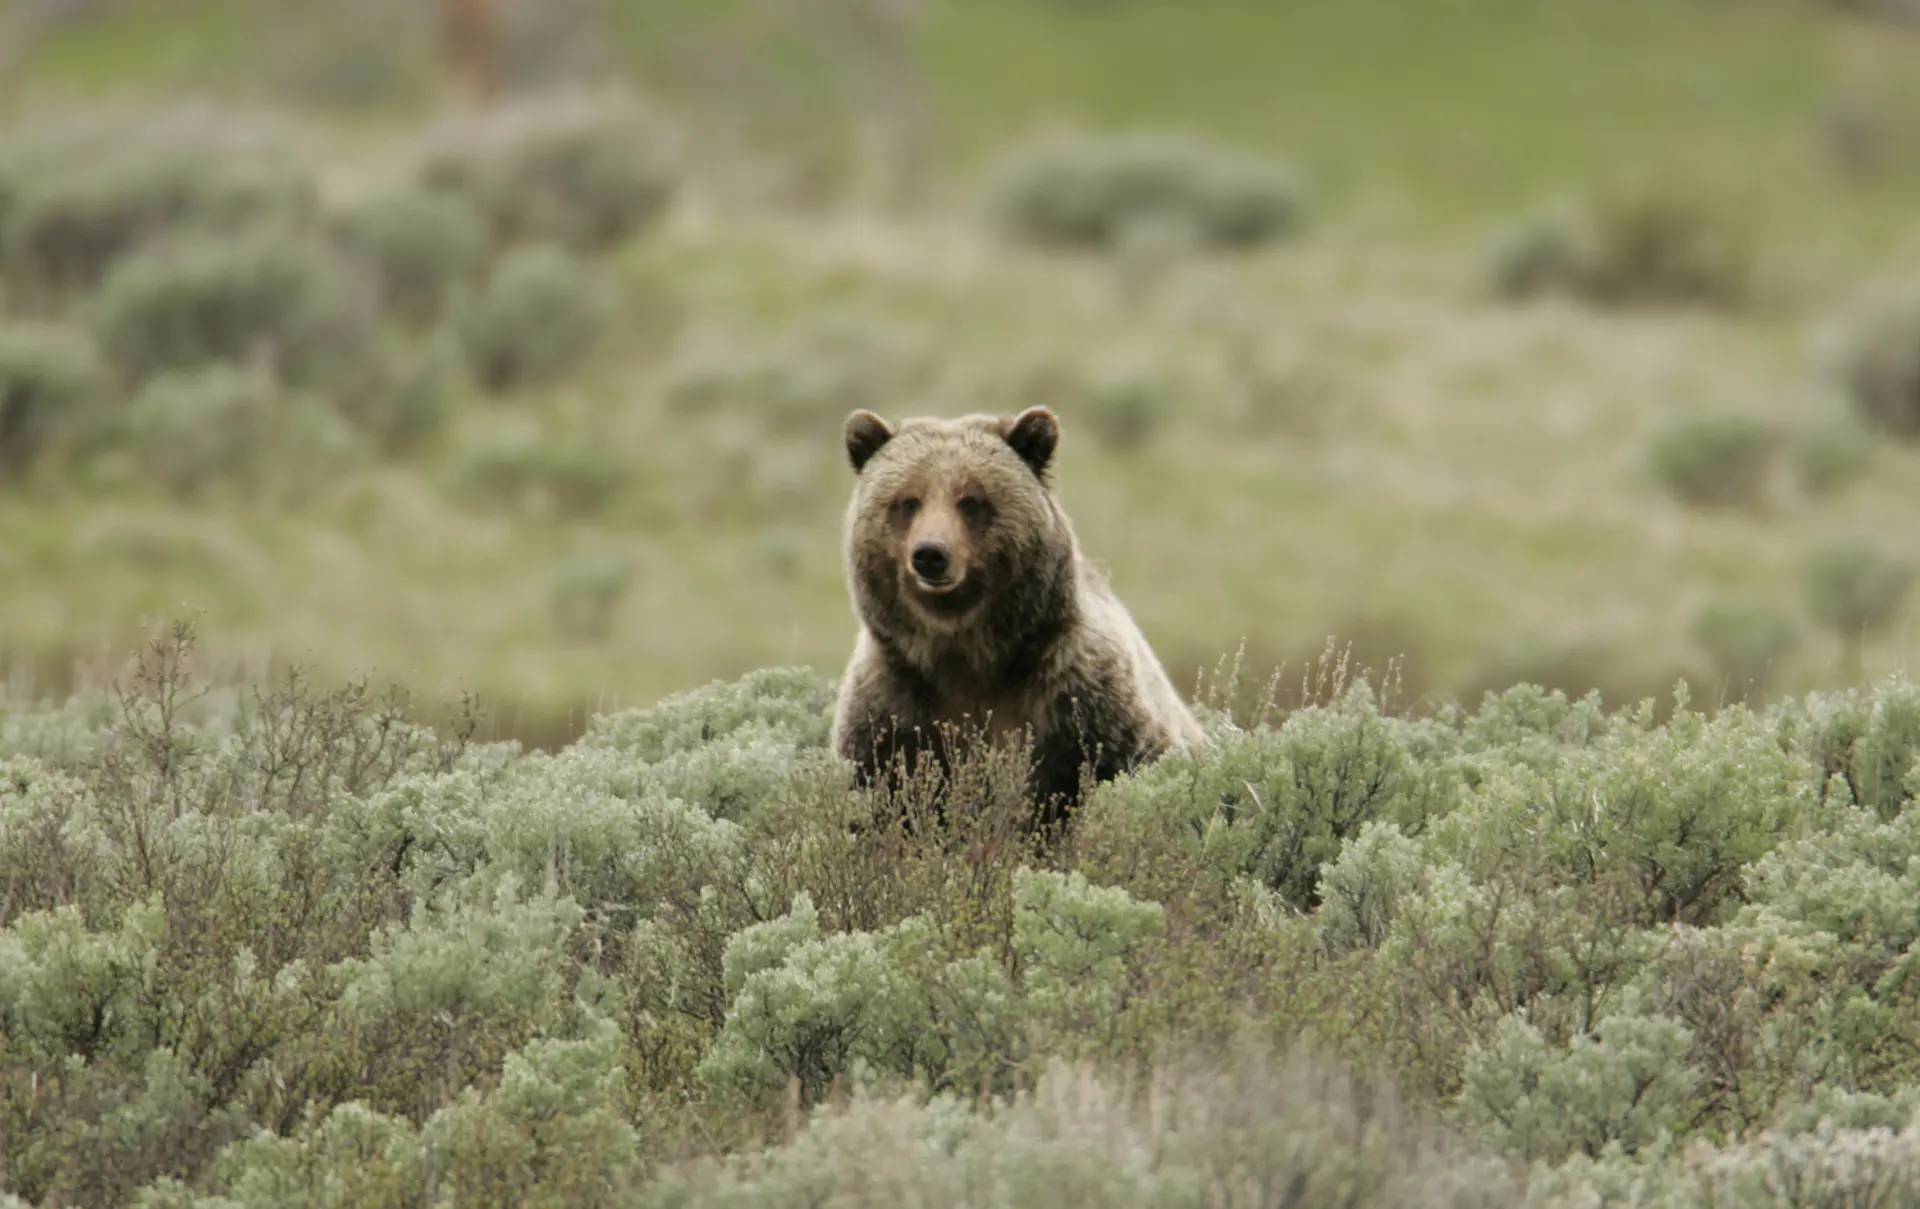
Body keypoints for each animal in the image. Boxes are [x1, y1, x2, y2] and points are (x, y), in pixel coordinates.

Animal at [828, 404, 1207, 830]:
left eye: (970, 500)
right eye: (908, 501)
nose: (930, 554)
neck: (967, 653)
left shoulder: (1082, 701)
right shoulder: (891, 710)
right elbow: (880, 796)